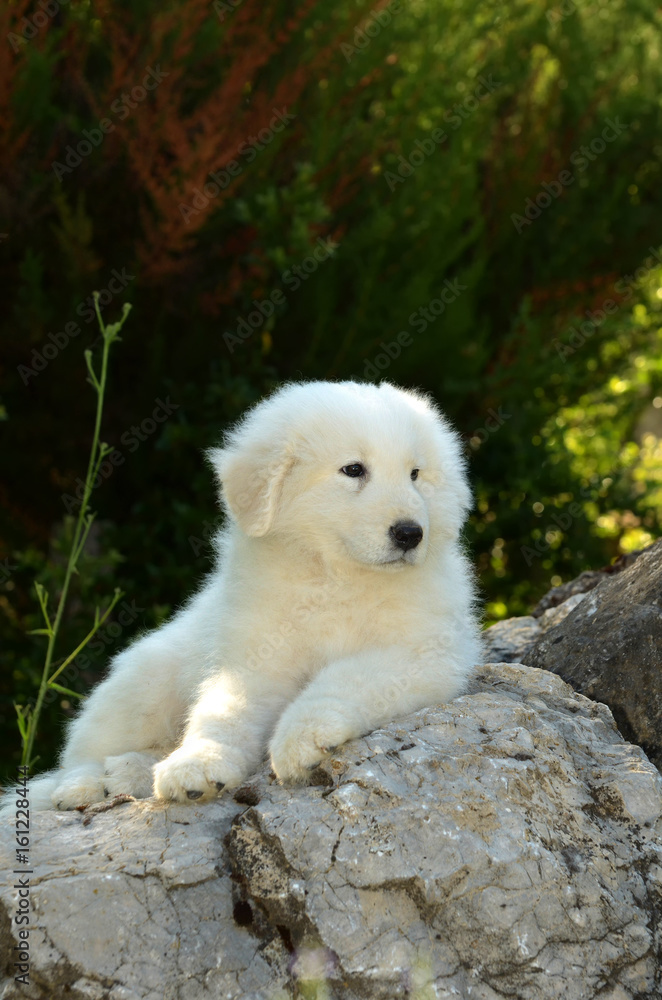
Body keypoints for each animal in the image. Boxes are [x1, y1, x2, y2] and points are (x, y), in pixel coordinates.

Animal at [27, 378, 482, 808]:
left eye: (415, 475)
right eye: (353, 470)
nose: (410, 534)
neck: (338, 578)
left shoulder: (424, 653)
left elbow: (344, 677)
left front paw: (301, 737)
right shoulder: (253, 661)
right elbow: (224, 711)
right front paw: (199, 762)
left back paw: (126, 773)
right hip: (142, 681)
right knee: (80, 753)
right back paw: (85, 786)